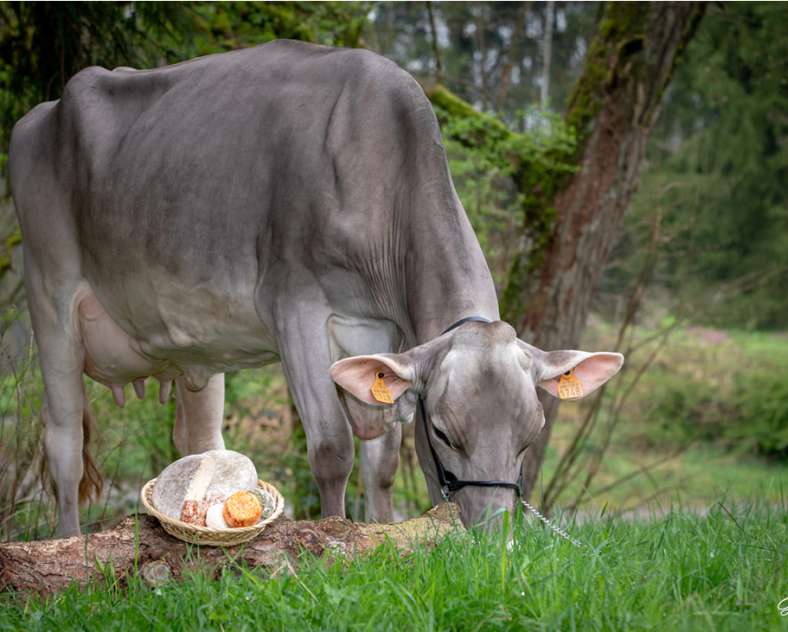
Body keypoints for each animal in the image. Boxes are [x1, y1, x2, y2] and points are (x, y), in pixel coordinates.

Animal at [7, 39, 620, 536]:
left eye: (531, 434)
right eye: (445, 433)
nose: (495, 544)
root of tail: (44, 111)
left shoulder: (383, 340)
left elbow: (382, 461)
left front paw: (384, 532)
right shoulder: (295, 308)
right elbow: (332, 448)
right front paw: (333, 535)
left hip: (190, 342)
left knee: (198, 442)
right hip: (49, 292)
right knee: (63, 443)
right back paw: (66, 542)